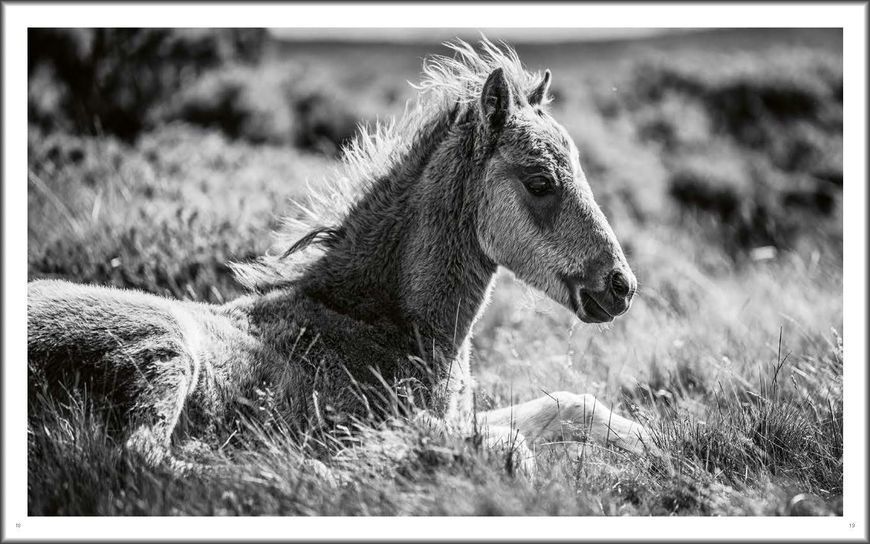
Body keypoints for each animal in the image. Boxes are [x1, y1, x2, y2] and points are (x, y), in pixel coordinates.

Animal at [27, 39, 655, 471]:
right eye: (541, 182)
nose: (620, 286)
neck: (377, 322)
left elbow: (566, 405)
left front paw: (654, 444)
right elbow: (512, 446)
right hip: (164, 348)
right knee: (143, 454)